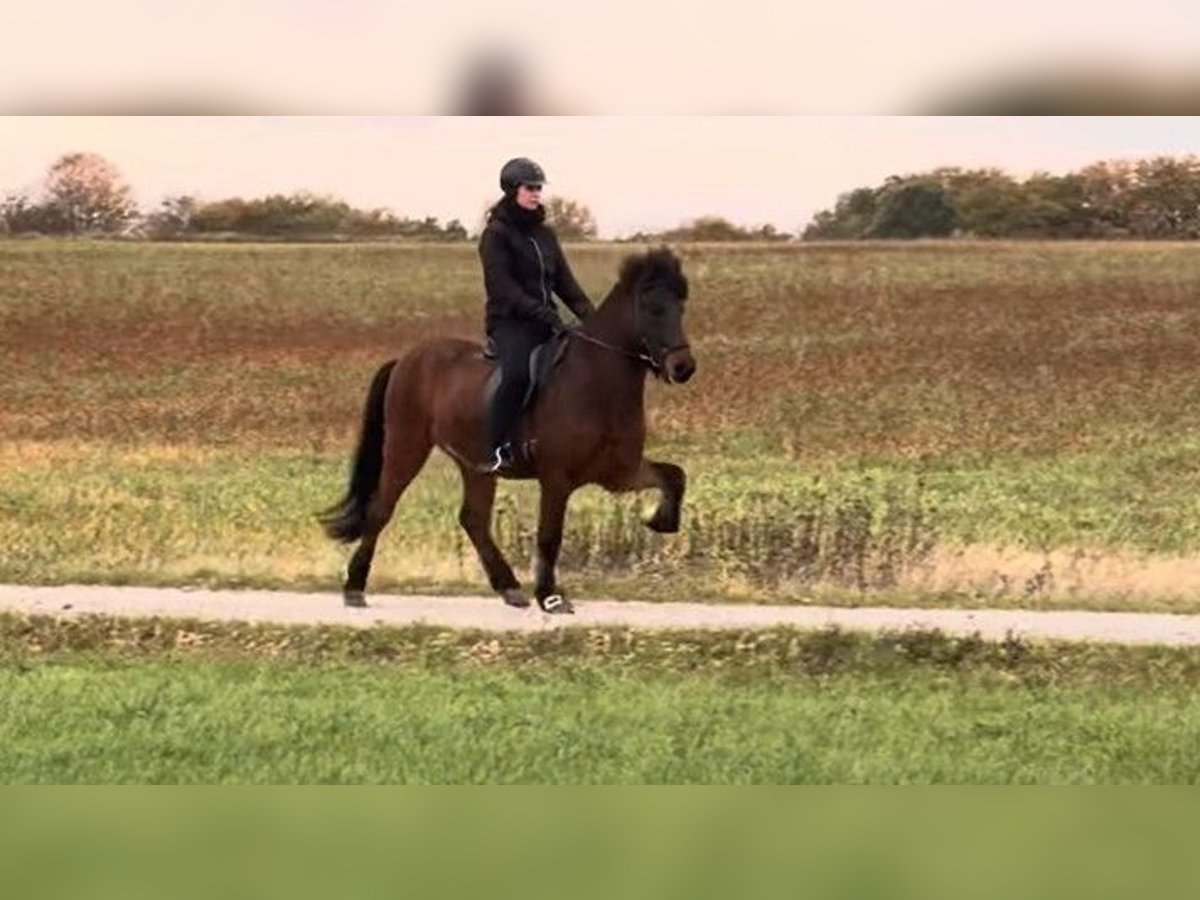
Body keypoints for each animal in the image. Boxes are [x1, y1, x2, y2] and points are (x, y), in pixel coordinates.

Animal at [318, 246, 697, 613]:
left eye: (681, 308)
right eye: (653, 308)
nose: (683, 368)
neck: (596, 380)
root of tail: (405, 360)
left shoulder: (619, 472)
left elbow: (674, 476)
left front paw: (660, 521)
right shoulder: (557, 478)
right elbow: (549, 536)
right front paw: (550, 597)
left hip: (476, 466)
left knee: (473, 519)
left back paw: (510, 588)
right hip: (406, 447)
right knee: (381, 509)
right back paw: (354, 589)